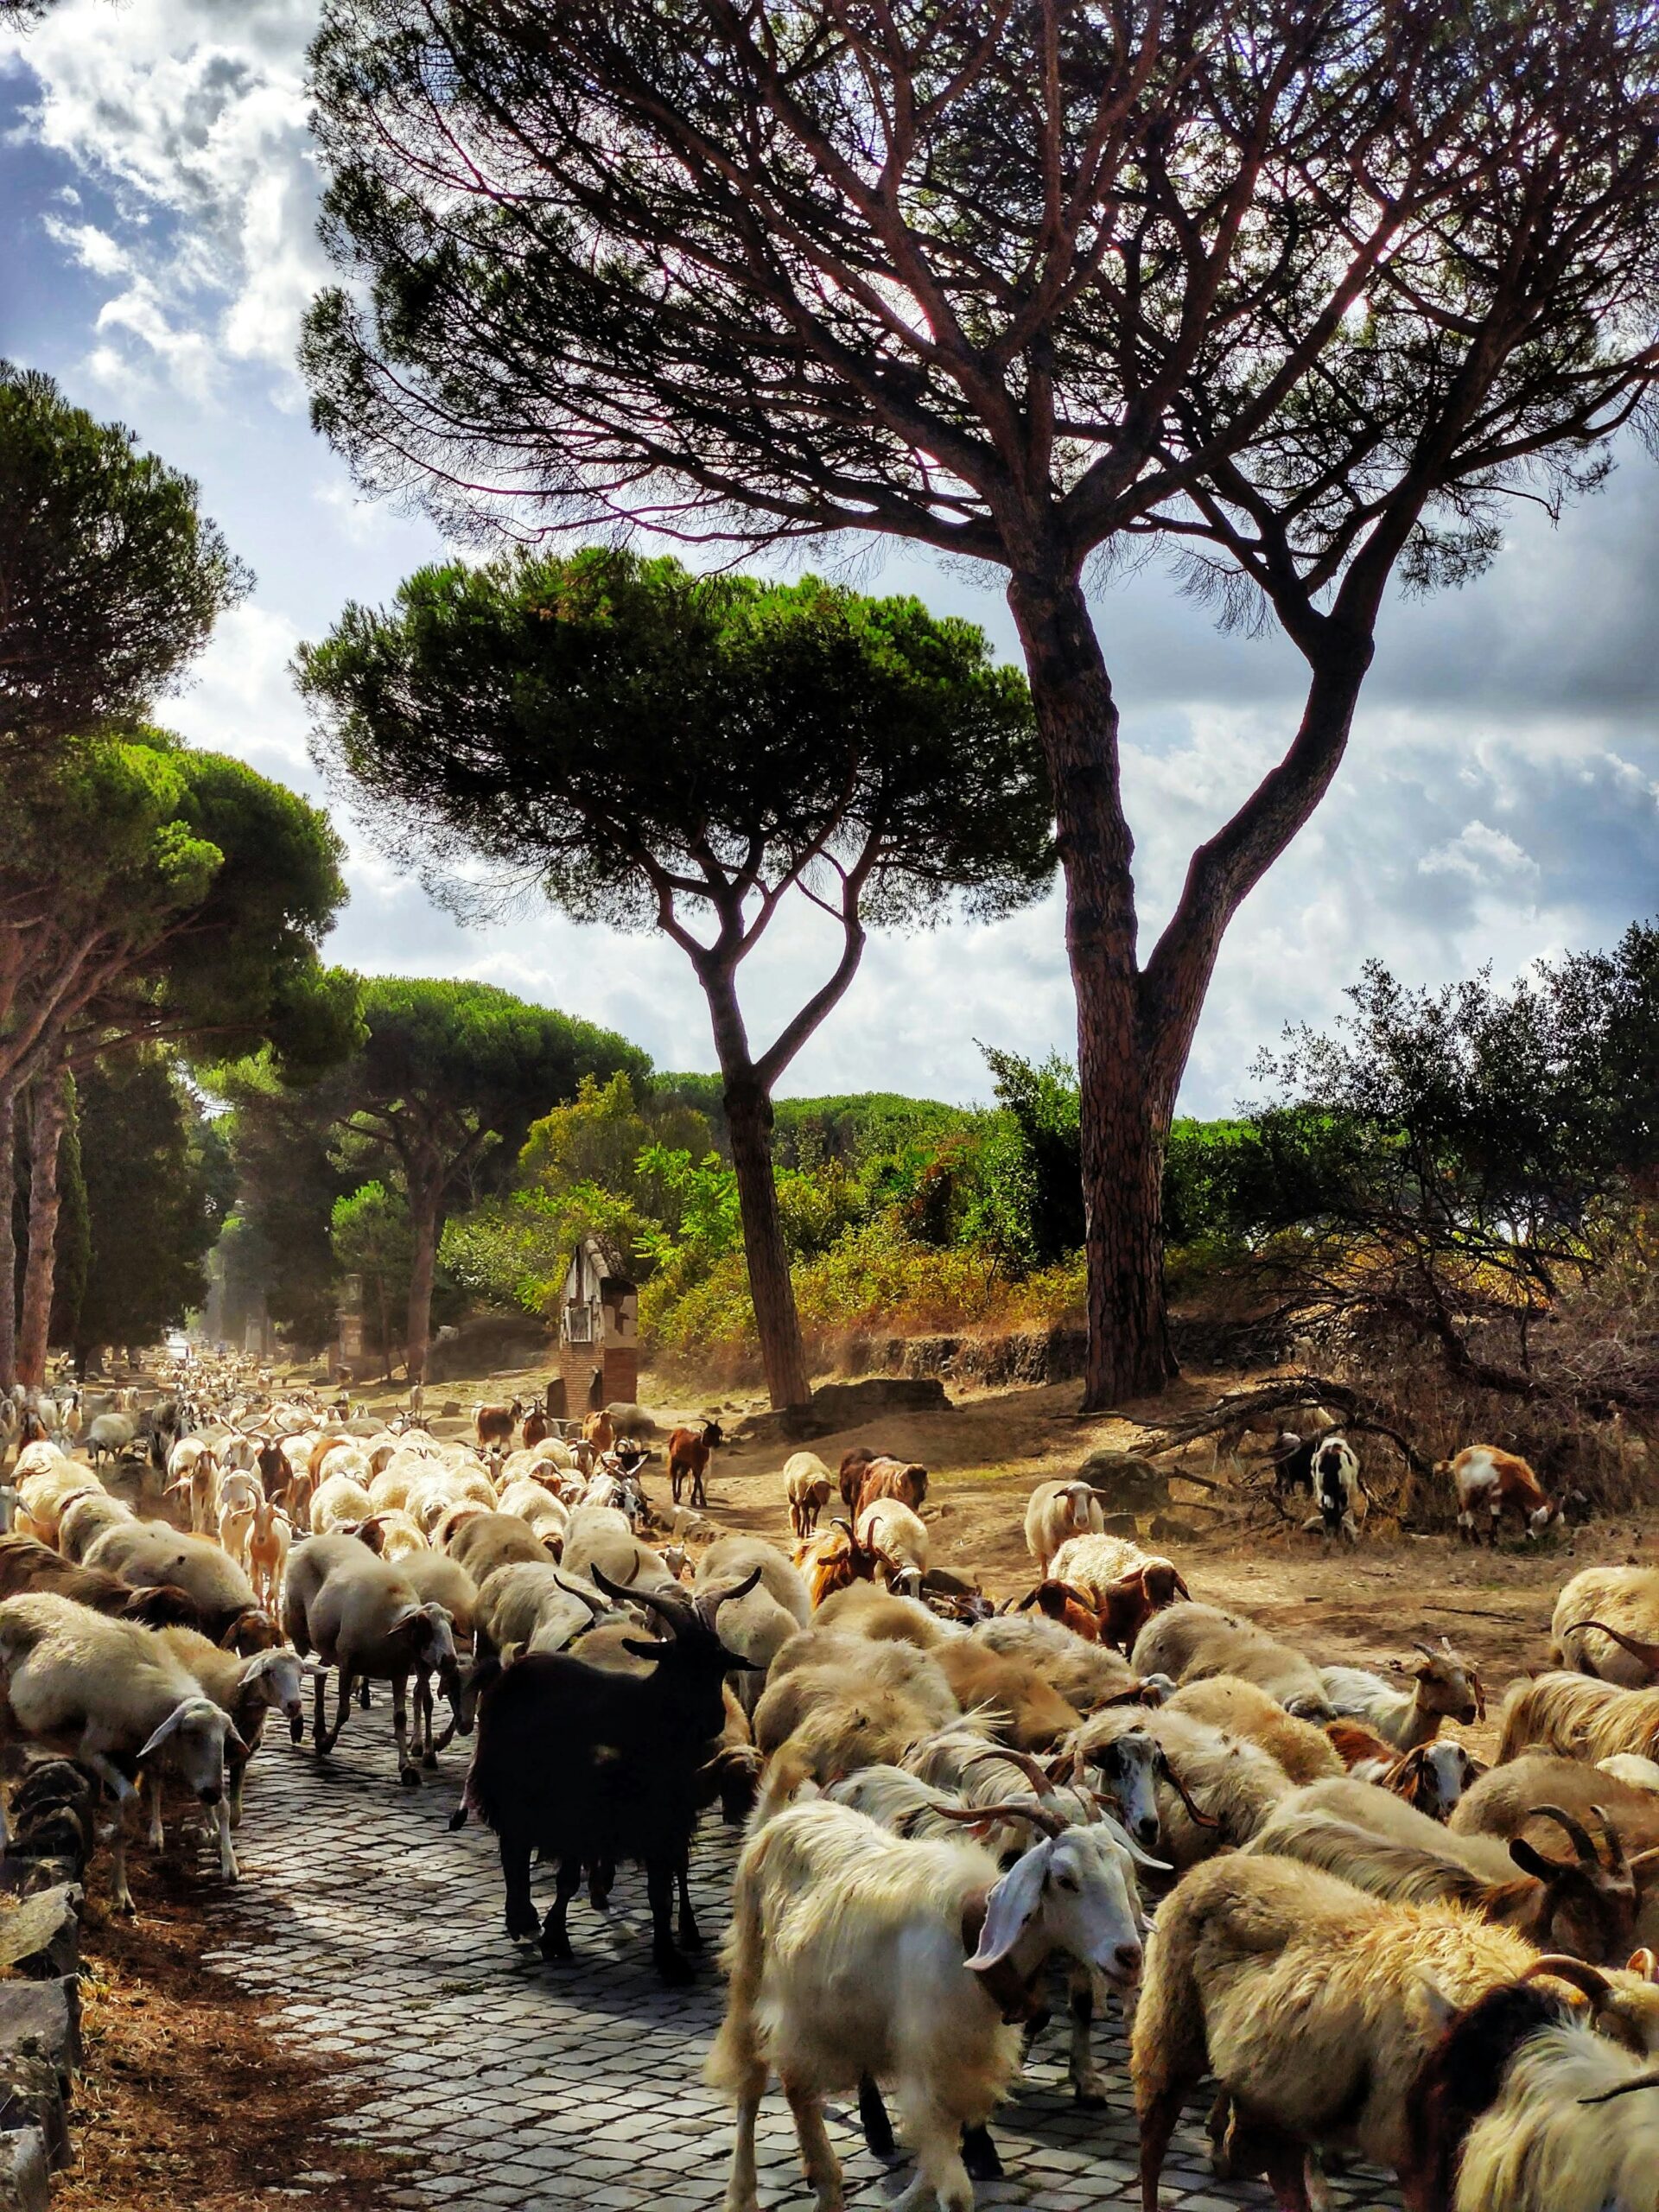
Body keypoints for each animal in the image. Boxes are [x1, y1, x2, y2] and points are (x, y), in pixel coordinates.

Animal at [448, 1566, 760, 1981]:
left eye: (720, 1661)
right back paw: (523, 1919)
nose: (714, 1719)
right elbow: (567, 1880)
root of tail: (516, 1667)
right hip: (509, 1784)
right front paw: (556, 1938)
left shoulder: (666, 1820)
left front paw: (670, 1957)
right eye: (679, 1660)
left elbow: (661, 1892)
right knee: (513, 1848)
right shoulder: (585, 1811)